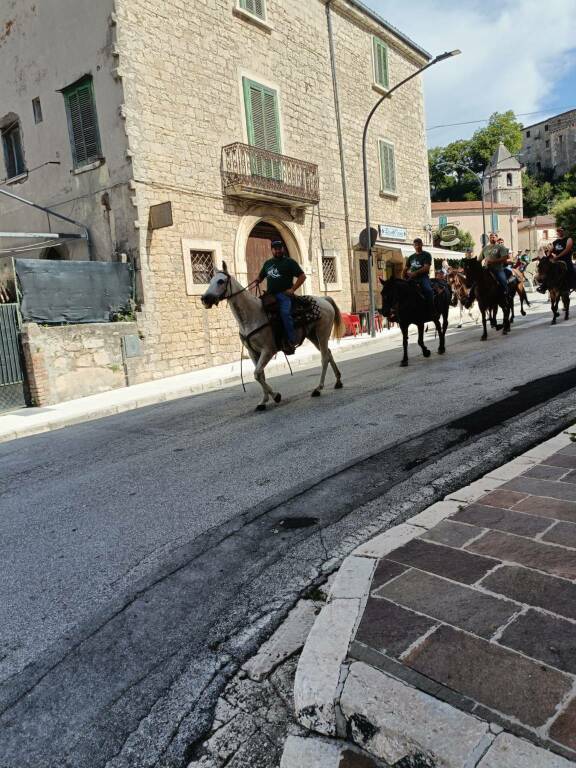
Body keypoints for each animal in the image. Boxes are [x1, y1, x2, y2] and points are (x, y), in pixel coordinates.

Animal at [202, 262, 344, 412]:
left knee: (324, 358)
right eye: (210, 281)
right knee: (328, 353)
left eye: (220, 281)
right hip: (313, 336)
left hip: (322, 333)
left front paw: (276, 396)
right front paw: (263, 401)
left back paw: (318, 388)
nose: (205, 298)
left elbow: (257, 374)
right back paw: (338, 381)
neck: (252, 316)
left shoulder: (268, 350)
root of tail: (324, 299)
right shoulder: (252, 352)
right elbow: (260, 375)